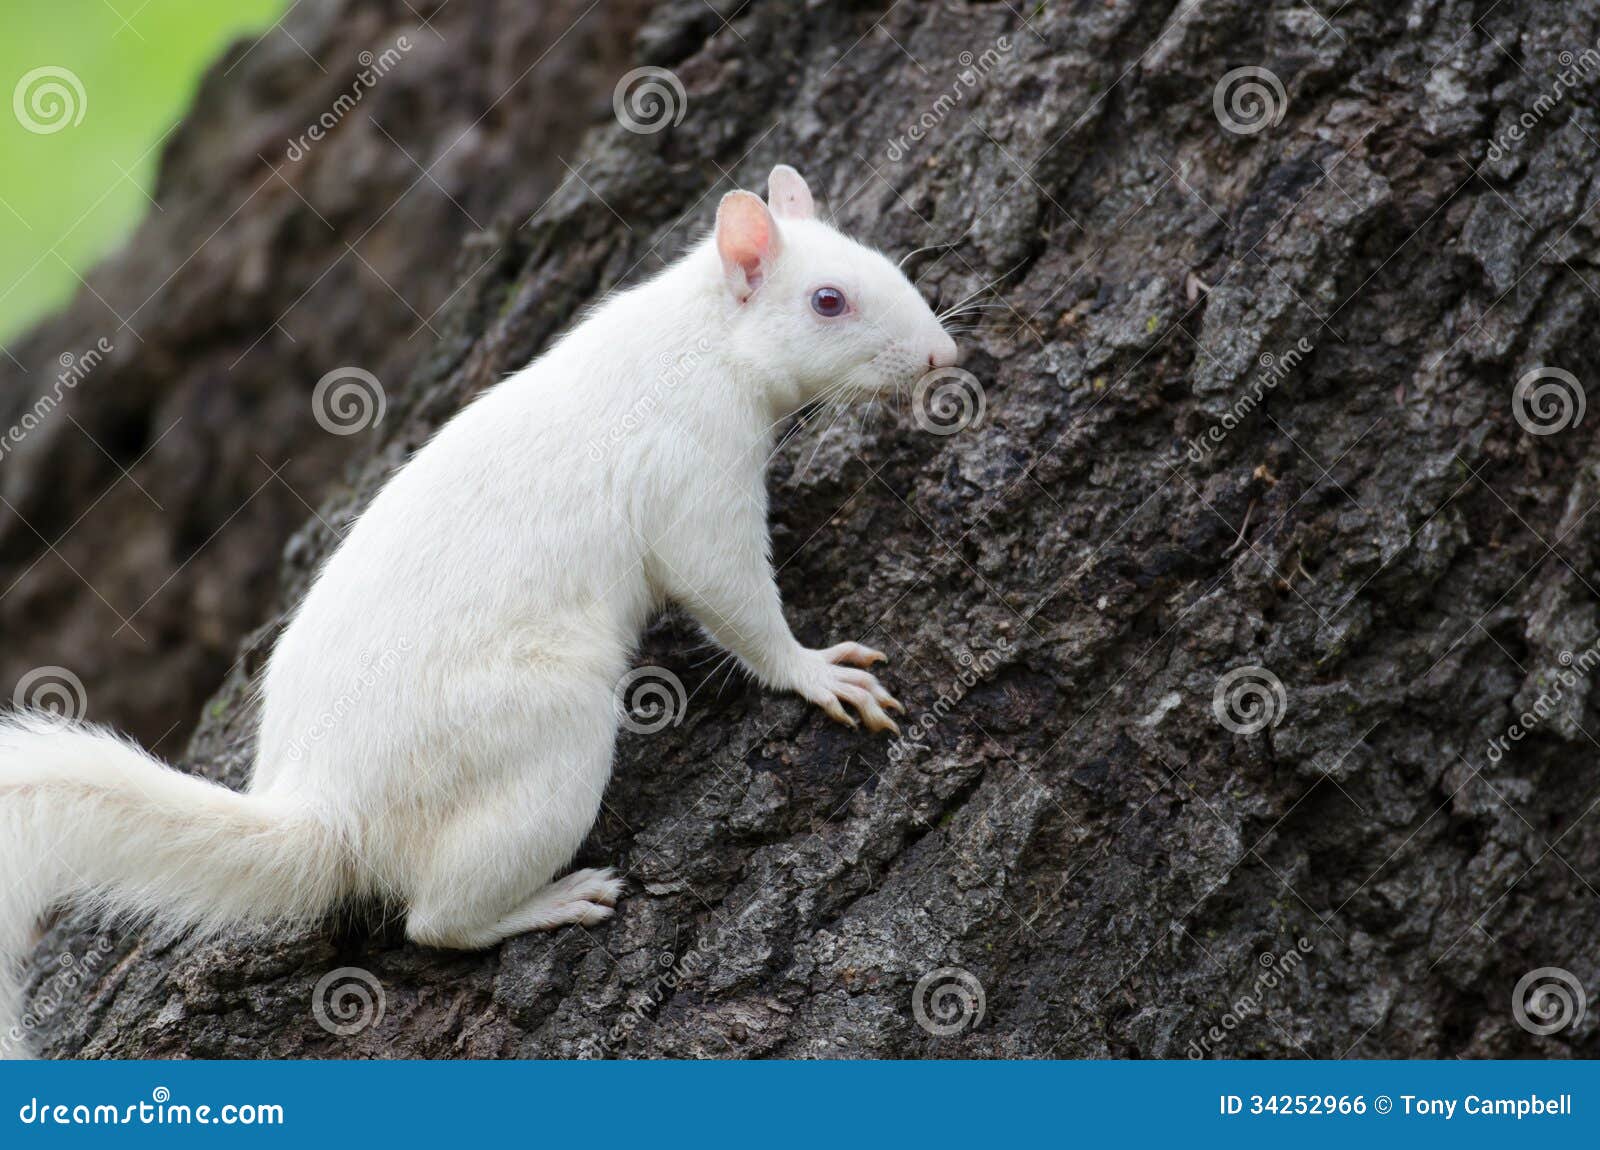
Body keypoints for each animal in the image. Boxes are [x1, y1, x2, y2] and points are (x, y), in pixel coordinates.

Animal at [0, 166, 947, 1055]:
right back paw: (549, 901)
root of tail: (325, 812)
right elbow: (730, 593)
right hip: (541, 735)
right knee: (437, 922)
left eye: (884, 261)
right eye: (828, 301)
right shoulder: (690, 470)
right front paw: (815, 672)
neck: (701, 339)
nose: (943, 357)